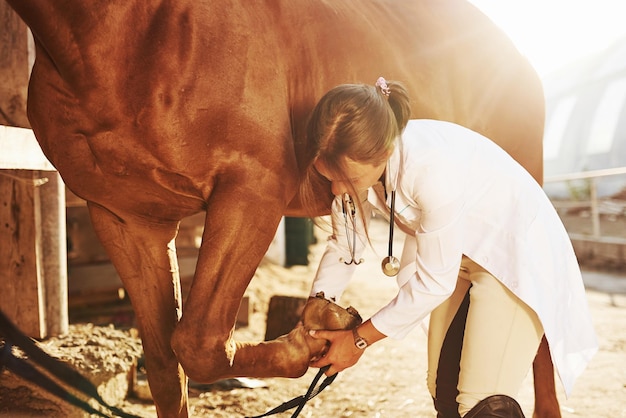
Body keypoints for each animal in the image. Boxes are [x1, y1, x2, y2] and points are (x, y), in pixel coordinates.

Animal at [6, 0, 556, 416]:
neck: (128, 33)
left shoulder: (251, 192)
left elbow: (202, 343)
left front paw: (314, 341)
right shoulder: (126, 219)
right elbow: (166, 365)